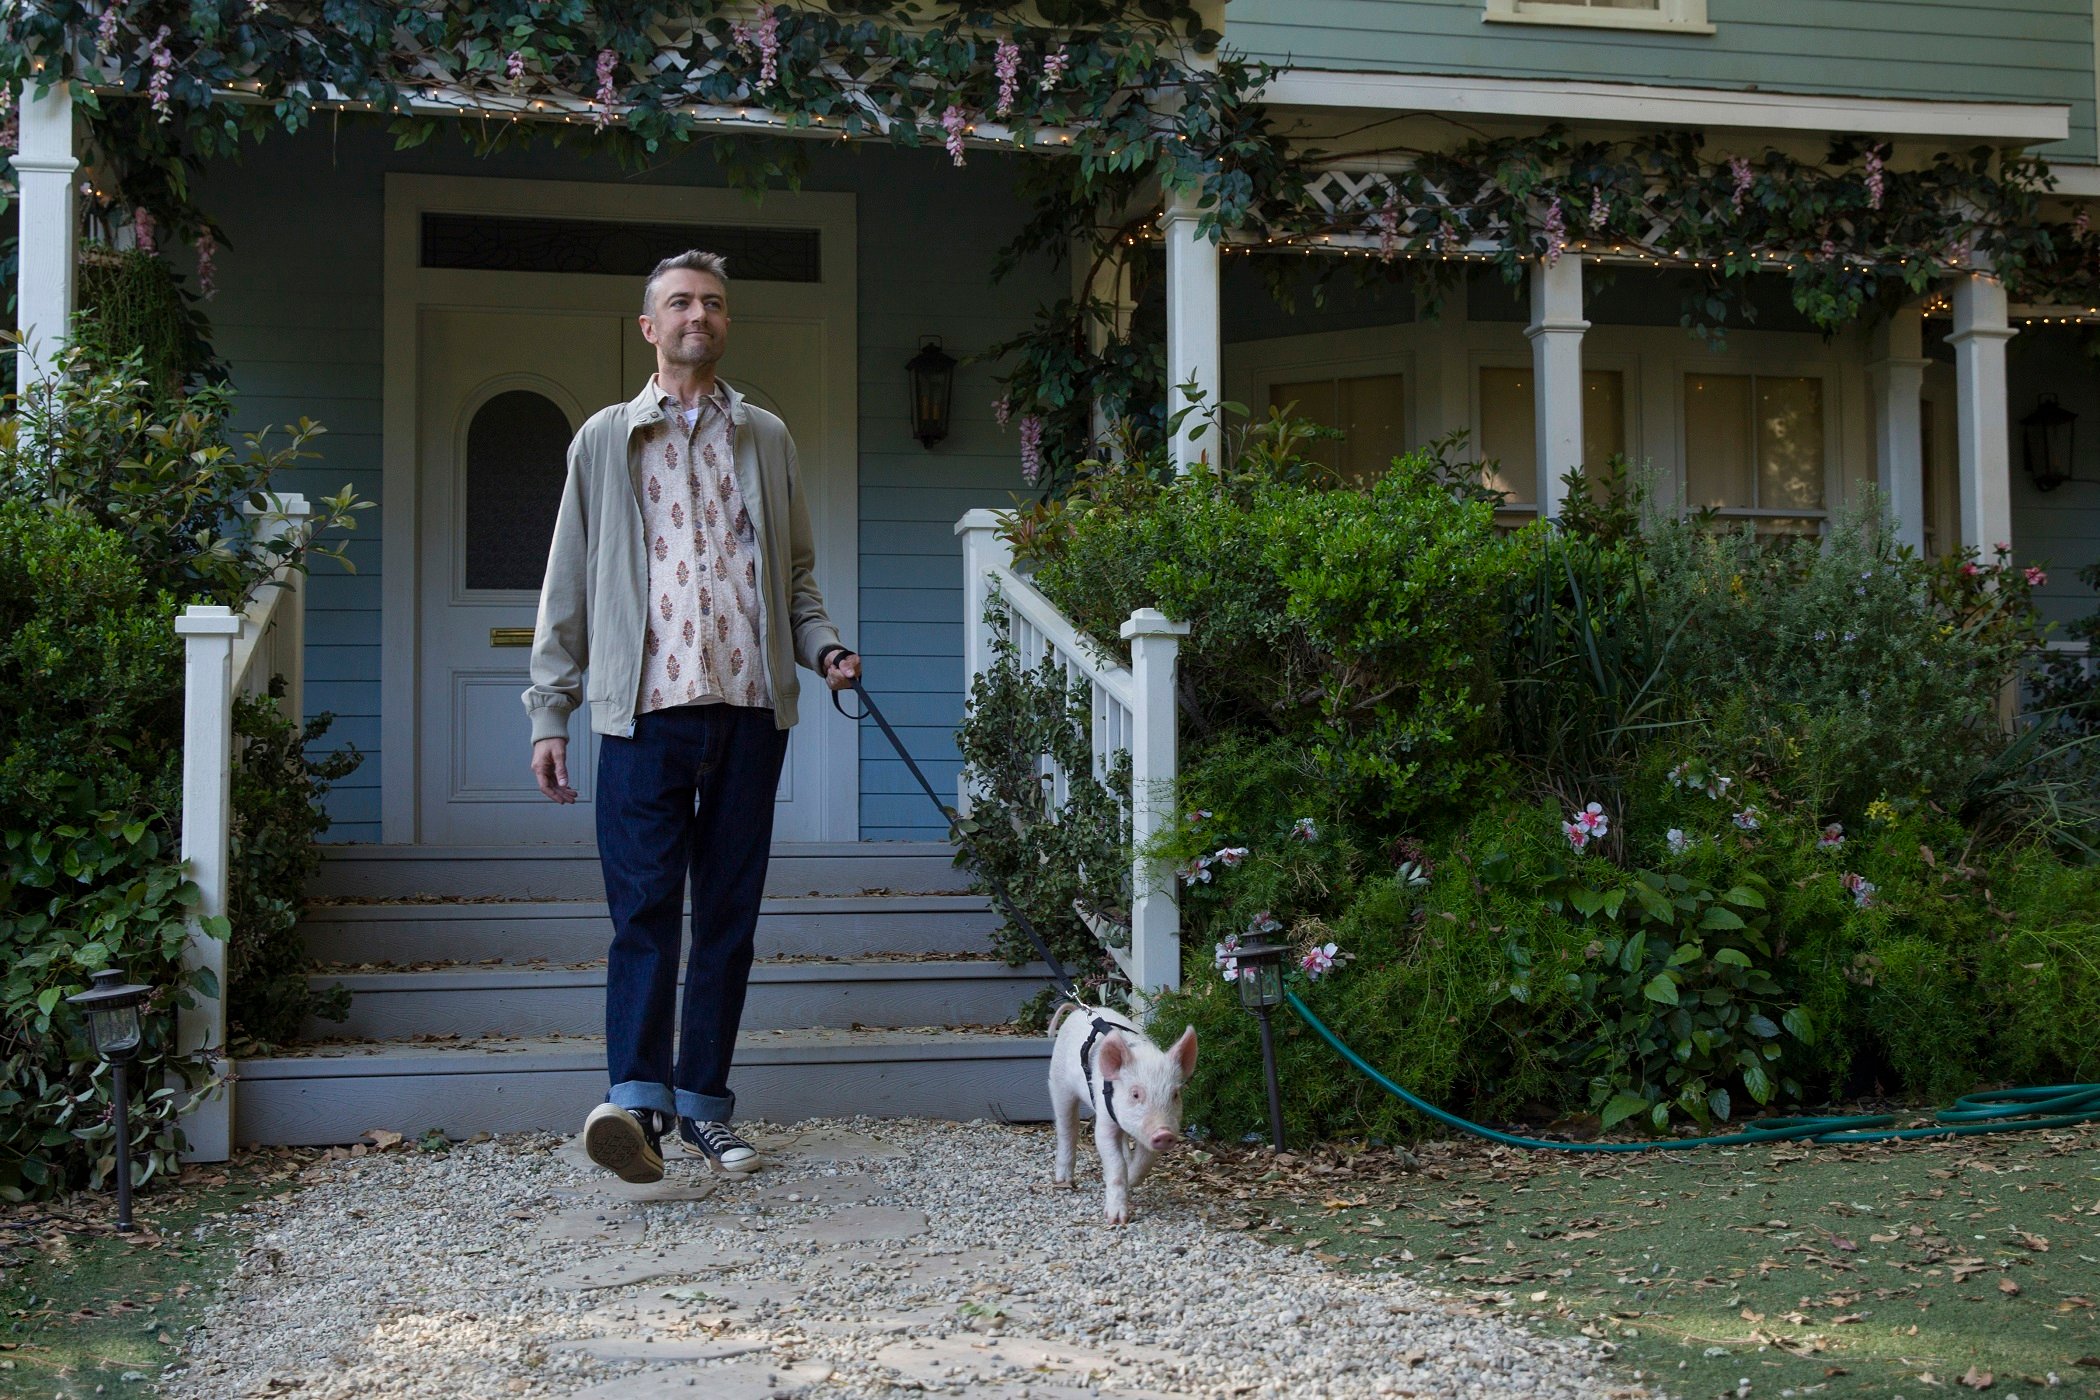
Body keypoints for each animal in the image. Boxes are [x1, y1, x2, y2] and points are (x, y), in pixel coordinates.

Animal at [1050, 1003, 1201, 1217]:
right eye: (1135, 1094)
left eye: (1175, 1095)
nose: (1164, 1133)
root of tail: (1078, 1010)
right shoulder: (1105, 1119)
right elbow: (1115, 1163)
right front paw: (1116, 1219)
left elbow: (1145, 1160)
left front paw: (1132, 1179)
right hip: (1059, 1082)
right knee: (1067, 1128)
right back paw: (1064, 1181)